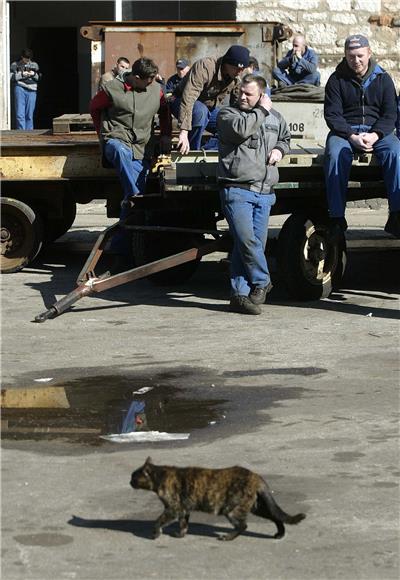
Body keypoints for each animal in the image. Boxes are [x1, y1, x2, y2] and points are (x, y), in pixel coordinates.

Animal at [130, 456, 304, 540]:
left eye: (134, 476)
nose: (129, 481)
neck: (161, 477)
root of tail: (255, 476)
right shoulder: (184, 509)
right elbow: (183, 524)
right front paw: (181, 535)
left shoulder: (173, 508)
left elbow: (158, 520)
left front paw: (155, 534)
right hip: (257, 506)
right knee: (276, 517)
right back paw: (280, 534)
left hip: (232, 509)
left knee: (243, 526)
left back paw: (227, 537)